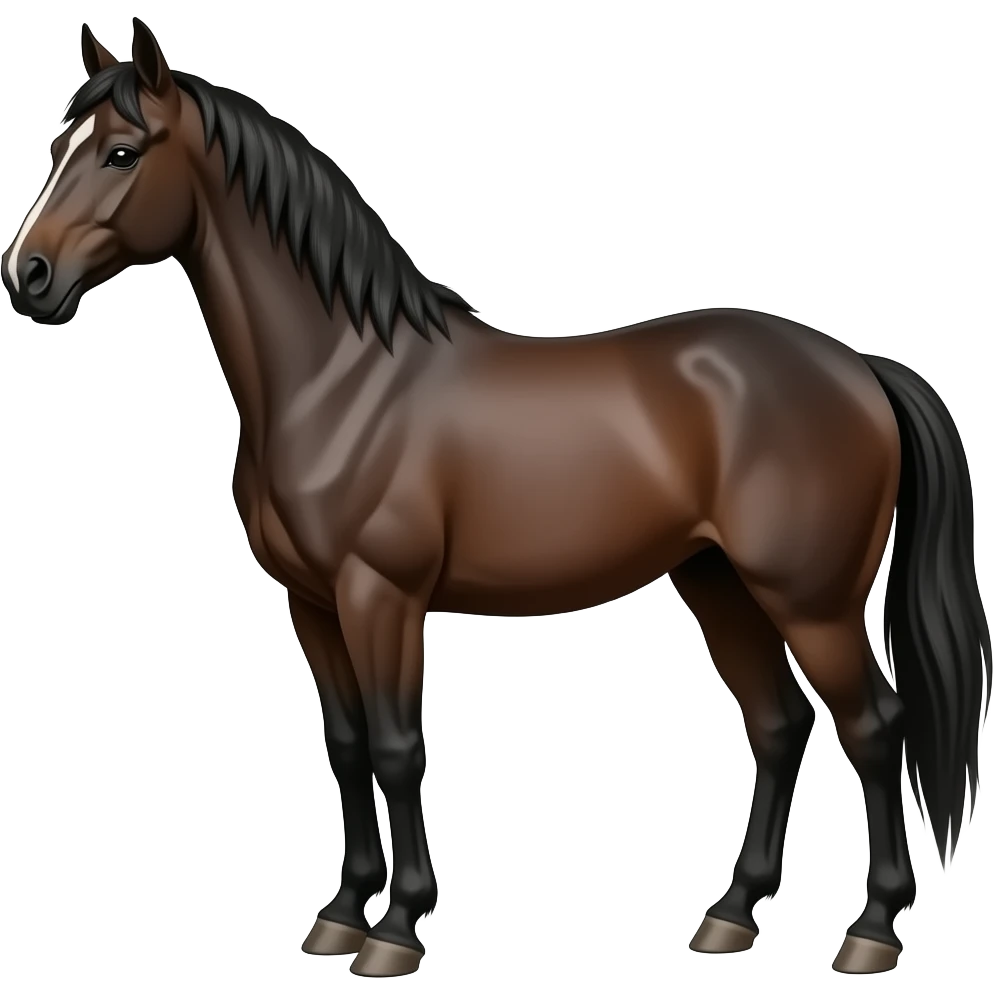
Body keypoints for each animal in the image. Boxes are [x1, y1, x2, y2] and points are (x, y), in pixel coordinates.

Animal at [2, 19, 989, 979]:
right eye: (57, 143)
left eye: (123, 151)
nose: (28, 276)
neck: (341, 377)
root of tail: (857, 366)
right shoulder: (312, 602)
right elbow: (347, 747)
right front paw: (339, 916)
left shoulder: (381, 595)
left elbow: (398, 749)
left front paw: (396, 929)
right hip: (719, 583)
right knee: (780, 726)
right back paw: (730, 916)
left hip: (810, 601)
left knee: (874, 727)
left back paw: (870, 931)